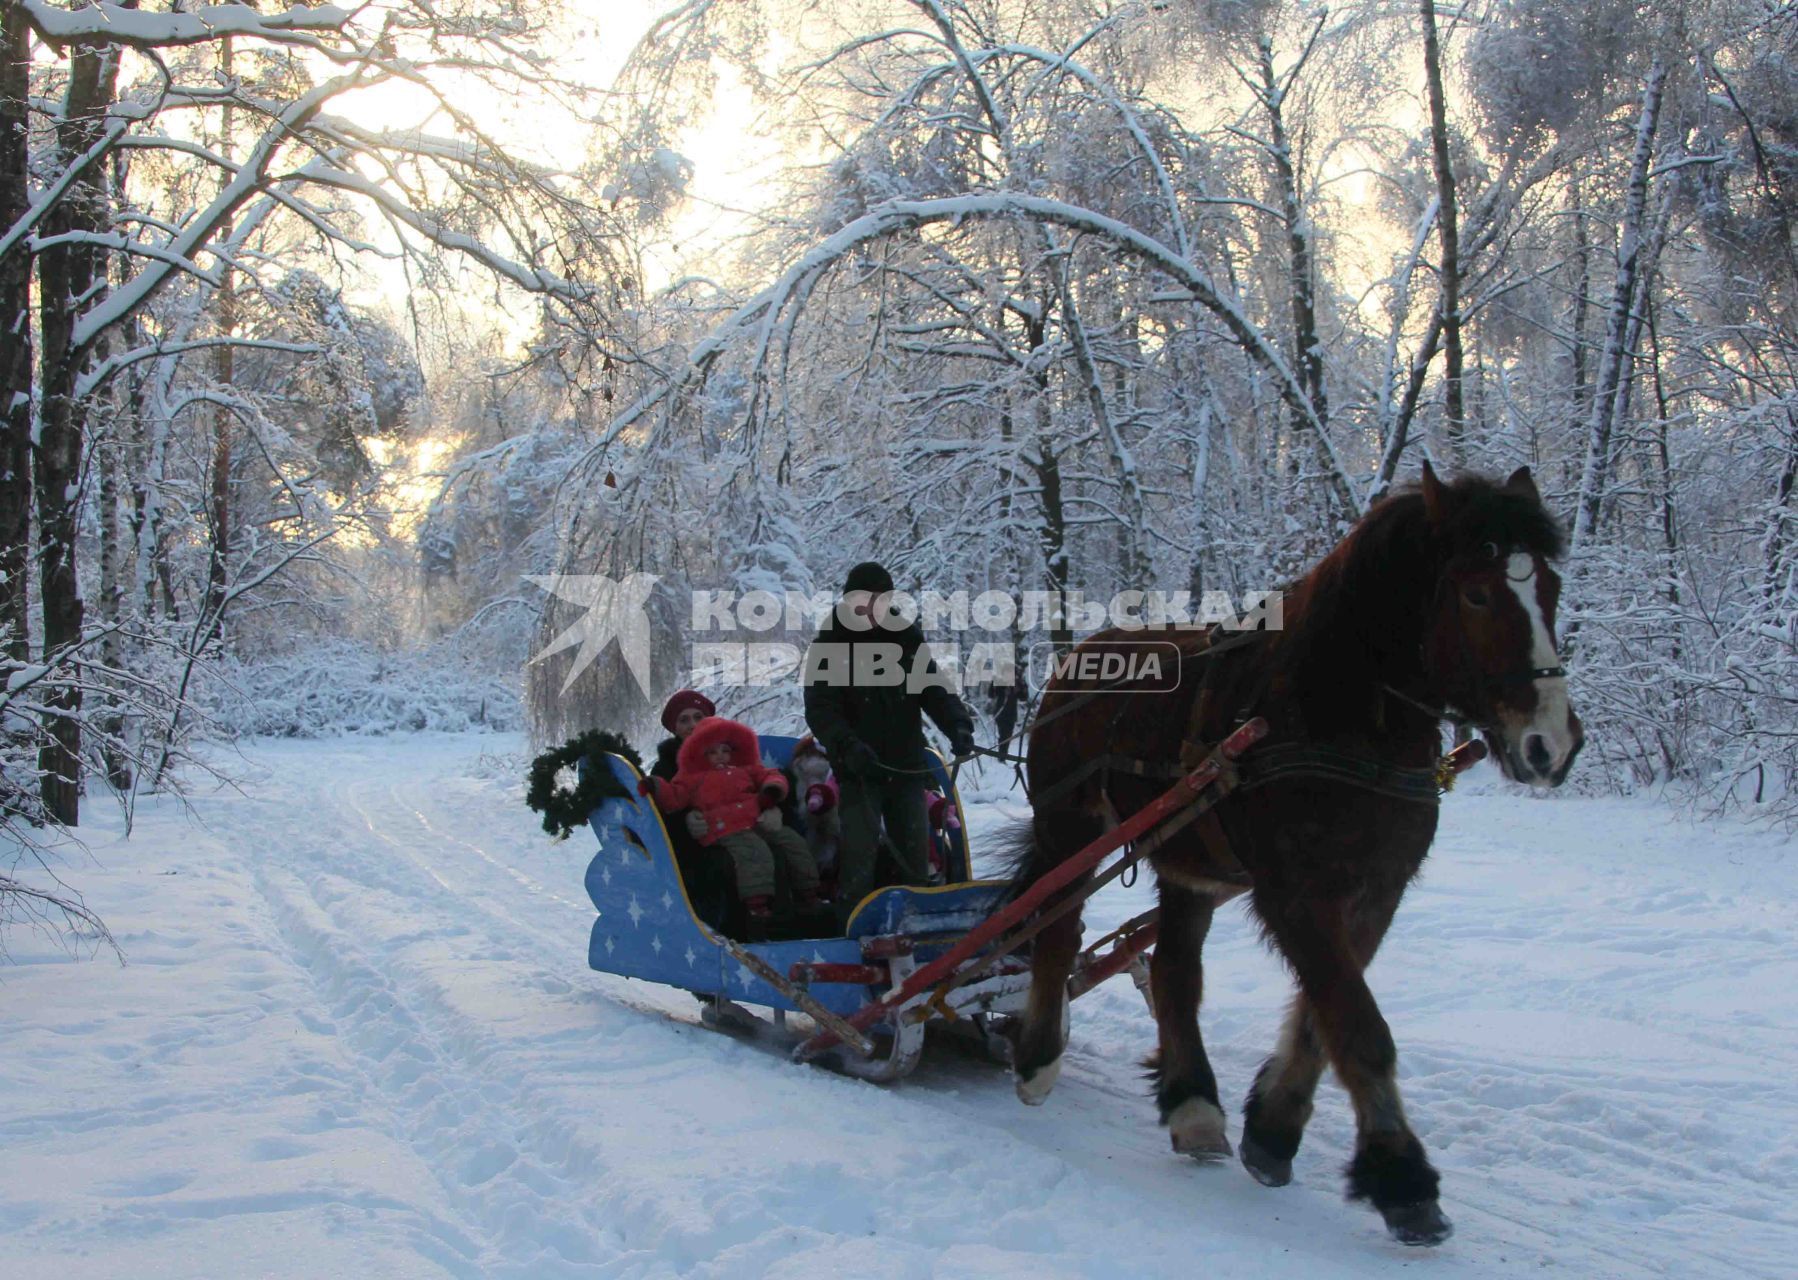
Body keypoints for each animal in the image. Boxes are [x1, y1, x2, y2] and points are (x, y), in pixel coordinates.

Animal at [1014, 463, 1589, 1244]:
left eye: (1550, 588)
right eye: (1476, 591)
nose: (1551, 744)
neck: (1336, 717)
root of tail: (1075, 662)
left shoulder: (1376, 890)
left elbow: (1326, 1019)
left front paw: (1273, 1129)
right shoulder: (1294, 892)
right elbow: (1358, 1024)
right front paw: (1403, 1178)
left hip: (1188, 864)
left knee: (1174, 972)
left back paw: (1194, 1105)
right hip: (1067, 831)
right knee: (1054, 928)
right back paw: (1038, 1059)